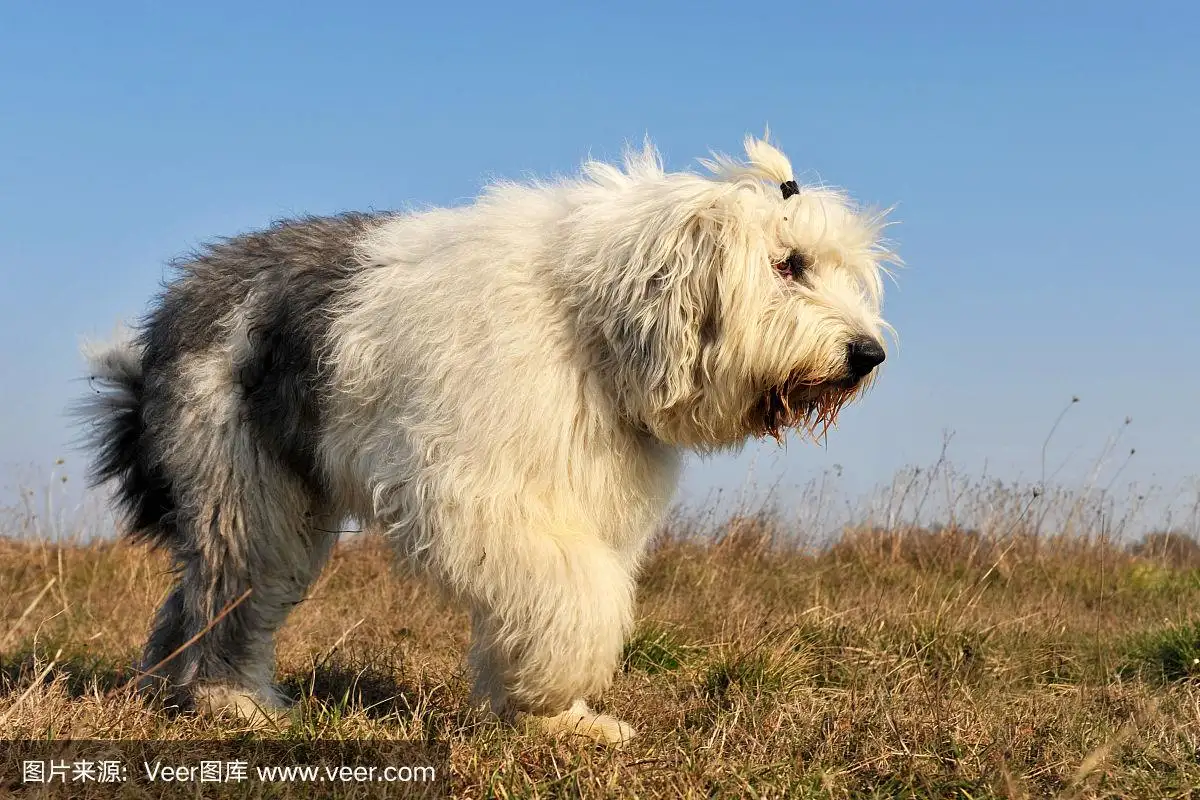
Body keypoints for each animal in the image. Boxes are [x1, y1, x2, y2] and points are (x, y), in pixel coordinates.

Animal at [77, 136, 892, 743]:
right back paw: (230, 702)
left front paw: (559, 719)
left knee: (197, 596)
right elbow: (574, 591)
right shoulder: (477, 488)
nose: (868, 355)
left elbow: (568, 590)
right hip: (243, 483)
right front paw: (552, 693)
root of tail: (177, 302)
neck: (591, 321)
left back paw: (170, 689)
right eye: (788, 265)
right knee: (230, 586)